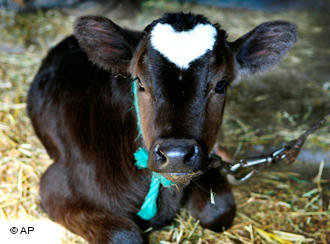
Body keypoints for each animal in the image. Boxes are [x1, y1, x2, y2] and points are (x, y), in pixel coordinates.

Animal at [28, 12, 296, 243]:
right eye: (140, 82)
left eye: (221, 85)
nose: (176, 155)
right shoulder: (57, 184)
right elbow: (125, 236)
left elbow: (218, 211)